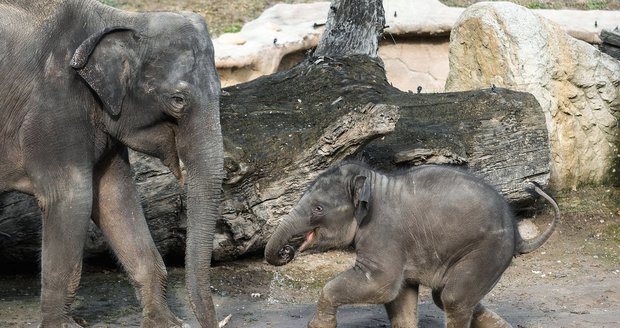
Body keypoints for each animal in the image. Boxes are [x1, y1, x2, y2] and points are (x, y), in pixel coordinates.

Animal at [0, 0, 223, 328]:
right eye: (178, 100)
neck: (118, 19)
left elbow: (115, 197)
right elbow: (74, 199)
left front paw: (165, 323)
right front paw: (63, 326)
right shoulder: (53, 109)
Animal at [264, 162, 560, 328]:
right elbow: (399, 298)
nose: (286, 251)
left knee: (453, 299)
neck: (372, 182)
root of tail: (518, 235)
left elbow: (381, 285)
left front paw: (316, 326)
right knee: (450, 298)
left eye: (317, 208)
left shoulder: (383, 233)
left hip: (488, 251)